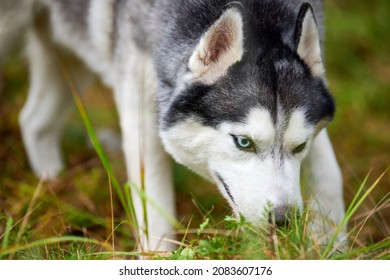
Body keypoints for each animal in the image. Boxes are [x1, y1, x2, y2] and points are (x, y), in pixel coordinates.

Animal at [1, 0, 346, 252]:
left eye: (300, 146)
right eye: (243, 142)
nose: (283, 219)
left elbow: (329, 175)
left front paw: (333, 246)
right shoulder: (139, 105)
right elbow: (154, 205)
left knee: (35, 122)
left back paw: (52, 187)